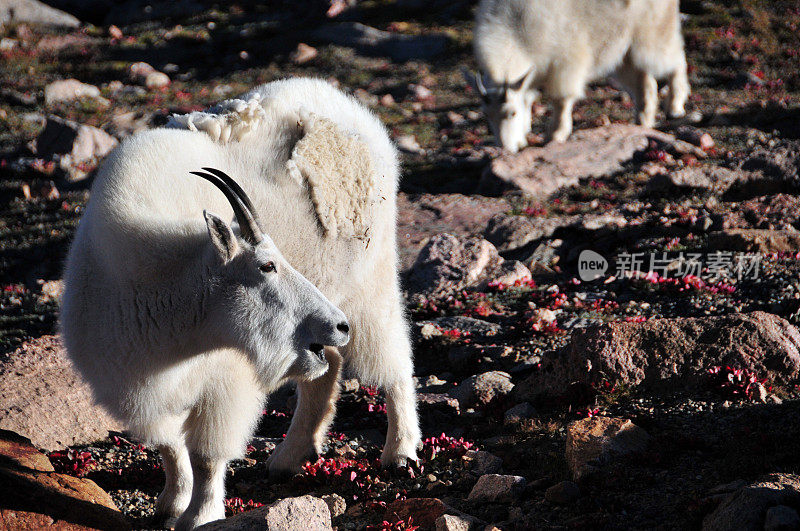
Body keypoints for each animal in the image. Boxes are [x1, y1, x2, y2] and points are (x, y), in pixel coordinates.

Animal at [60, 79, 422, 531]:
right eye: (267, 265)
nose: (339, 325)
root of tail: (352, 109)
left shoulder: (226, 377)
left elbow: (206, 454)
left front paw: (201, 515)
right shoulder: (140, 384)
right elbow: (169, 446)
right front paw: (172, 504)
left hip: (371, 279)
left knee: (394, 359)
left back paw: (400, 453)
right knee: (328, 367)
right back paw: (288, 458)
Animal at [466, 0, 692, 152]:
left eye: (511, 113)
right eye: (486, 114)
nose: (506, 149)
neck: (516, 30)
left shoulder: (566, 61)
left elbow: (561, 99)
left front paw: (555, 135)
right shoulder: (529, 76)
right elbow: (527, 99)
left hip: (653, 32)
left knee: (675, 61)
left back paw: (675, 106)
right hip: (622, 49)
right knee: (644, 83)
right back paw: (641, 123)